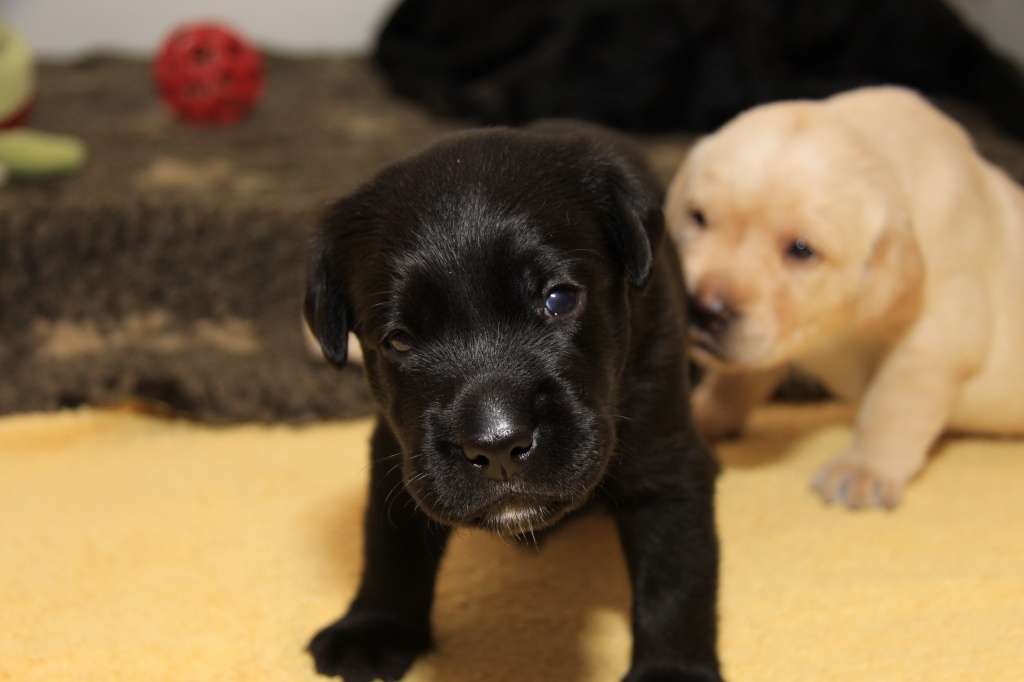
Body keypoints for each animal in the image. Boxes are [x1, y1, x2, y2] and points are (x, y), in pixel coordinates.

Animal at [304, 122, 723, 682]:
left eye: (559, 299)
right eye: (400, 340)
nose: (498, 446)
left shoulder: (666, 457)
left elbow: (675, 576)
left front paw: (672, 672)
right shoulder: (397, 452)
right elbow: (390, 543)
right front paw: (374, 626)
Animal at [665, 86, 1024, 509]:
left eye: (801, 250)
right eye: (698, 217)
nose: (703, 310)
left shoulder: (934, 337)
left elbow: (891, 404)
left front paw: (865, 468)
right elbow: (734, 381)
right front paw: (701, 413)